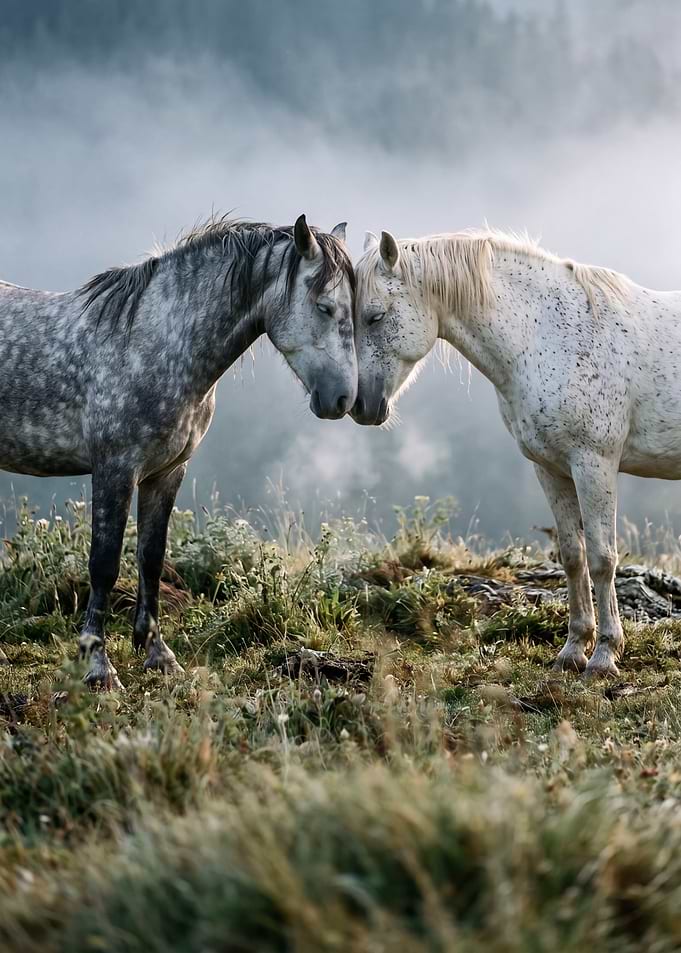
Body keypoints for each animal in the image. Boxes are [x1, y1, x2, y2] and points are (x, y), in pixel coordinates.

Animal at [0, 214, 356, 689]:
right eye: (325, 307)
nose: (343, 399)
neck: (152, 343)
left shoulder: (166, 472)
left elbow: (151, 558)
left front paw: (158, 654)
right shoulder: (114, 469)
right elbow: (104, 564)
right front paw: (98, 666)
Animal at [352, 226, 681, 677]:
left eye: (376, 316)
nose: (361, 406)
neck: (547, 336)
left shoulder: (593, 463)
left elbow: (601, 558)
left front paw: (604, 656)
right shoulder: (551, 468)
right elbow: (573, 556)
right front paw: (573, 650)